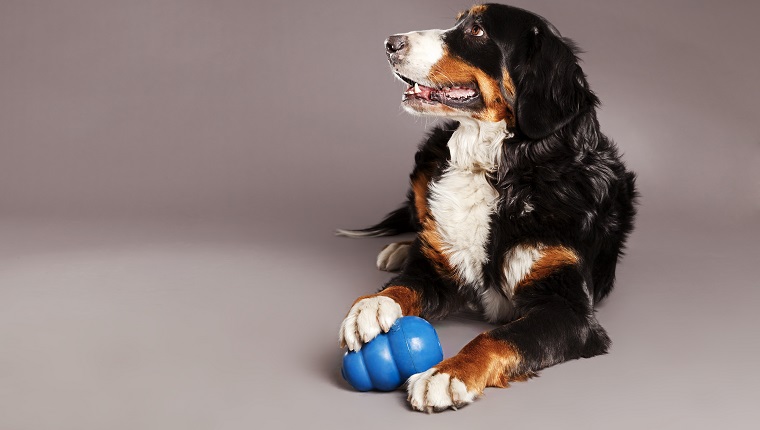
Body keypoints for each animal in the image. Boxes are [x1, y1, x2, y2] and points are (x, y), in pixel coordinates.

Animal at [336, 4, 636, 414]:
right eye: (458, 21)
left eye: (476, 31)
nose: (390, 43)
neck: (497, 172)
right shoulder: (437, 273)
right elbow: (404, 285)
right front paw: (370, 307)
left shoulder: (568, 308)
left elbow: (500, 337)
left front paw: (446, 374)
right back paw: (401, 248)